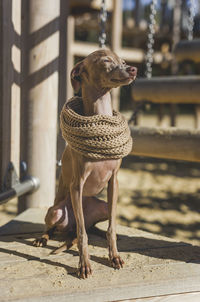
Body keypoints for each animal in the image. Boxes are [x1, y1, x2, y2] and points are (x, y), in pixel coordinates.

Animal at [33, 49, 137, 278]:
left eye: (123, 60)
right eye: (106, 60)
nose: (133, 69)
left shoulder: (114, 181)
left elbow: (111, 228)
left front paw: (114, 256)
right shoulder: (76, 185)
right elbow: (82, 236)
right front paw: (84, 264)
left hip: (105, 206)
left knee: (92, 226)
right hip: (56, 211)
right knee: (63, 228)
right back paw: (42, 238)